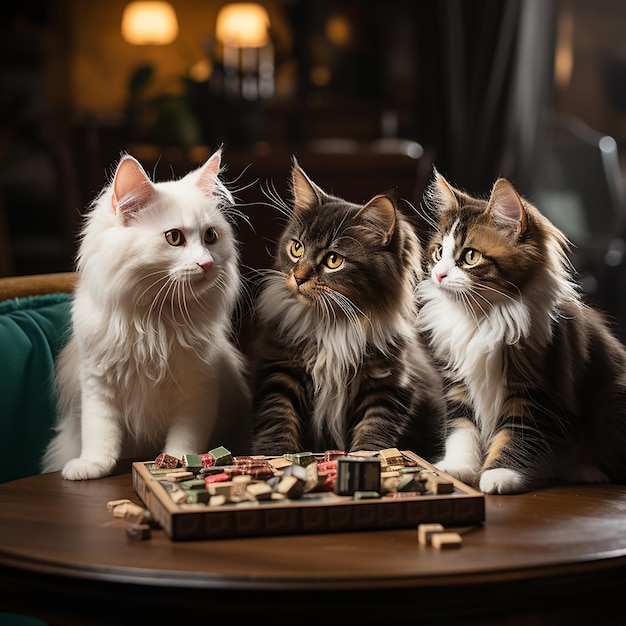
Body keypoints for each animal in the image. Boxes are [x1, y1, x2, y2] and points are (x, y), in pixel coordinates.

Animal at [40, 147, 251, 478]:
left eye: (210, 237)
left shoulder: (197, 384)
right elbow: (100, 432)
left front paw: (176, 461)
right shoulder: (98, 382)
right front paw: (92, 466)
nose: (206, 264)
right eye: (174, 238)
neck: (155, 317)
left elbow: (185, 437)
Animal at [249, 158, 444, 456]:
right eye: (297, 248)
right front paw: (276, 454)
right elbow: (278, 419)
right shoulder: (280, 369)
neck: (333, 322)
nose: (298, 277)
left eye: (333, 260)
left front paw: (368, 457)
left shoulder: (388, 386)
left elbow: (374, 433)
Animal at [416, 171, 626, 492]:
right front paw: (458, 467)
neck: (482, 319)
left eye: (470, 257)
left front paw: (499, 474)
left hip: (610, 401)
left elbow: (515, 434)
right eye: (439, 252)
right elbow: (462, 429)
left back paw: (584, 471)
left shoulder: (532, 387)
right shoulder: (459, 385)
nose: (438, 275)